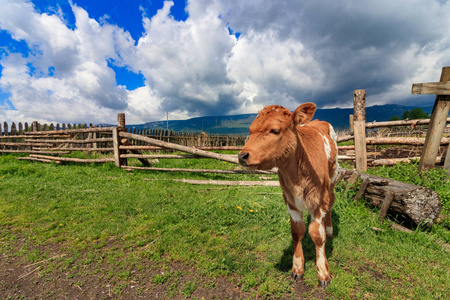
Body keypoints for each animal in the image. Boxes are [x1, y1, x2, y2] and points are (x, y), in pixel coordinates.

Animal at [239, 103, 338, 288]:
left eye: (275, 130)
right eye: (250, 130)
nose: (242, 156)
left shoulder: (319, 200)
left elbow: (317, 234)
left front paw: (323, 271)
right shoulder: (290, 200)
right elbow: (297, 231)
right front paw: (297, 267)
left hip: (333, 179)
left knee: (331, 203)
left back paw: (329, 228)